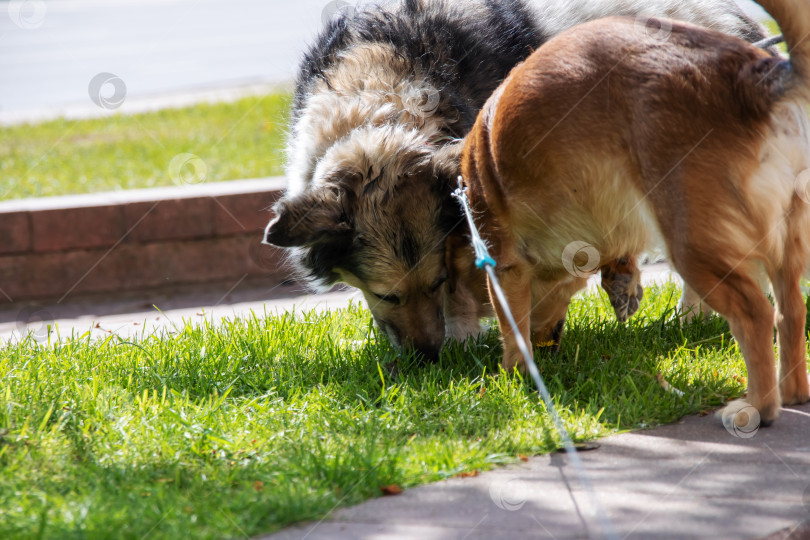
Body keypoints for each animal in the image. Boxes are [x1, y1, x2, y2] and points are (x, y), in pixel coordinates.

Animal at [266, 0, 772, 358]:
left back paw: (694, 318)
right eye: (386, 295)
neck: (379, 103)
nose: (428, 359)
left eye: (433, 283)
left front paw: (464, 336)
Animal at [460, 1, 808, 426]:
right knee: (791, 311)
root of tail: (752, 81)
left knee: (755, 314)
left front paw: (513, 376)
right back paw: (793, 393)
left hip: (693, 248)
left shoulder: (504, 266)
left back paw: (759, 407)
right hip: (785, 244)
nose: (548, 347)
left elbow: (513, 330)